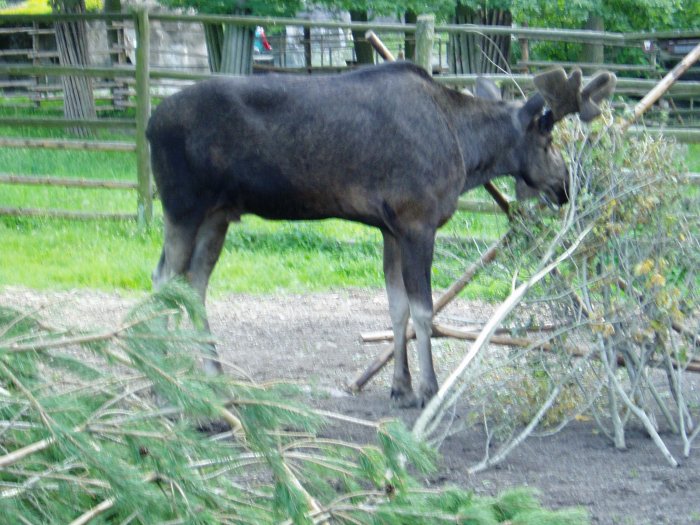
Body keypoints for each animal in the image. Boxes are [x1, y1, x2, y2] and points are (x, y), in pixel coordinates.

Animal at [148, 62, 612, 410]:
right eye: (548, 140)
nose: (565, 186)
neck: (466, 147)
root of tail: (150, 125)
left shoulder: (390, 228)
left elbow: (396, 308)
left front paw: (400, 387)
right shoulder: (417, 221)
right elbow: (424, 311)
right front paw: (429, 389)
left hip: (217, 215)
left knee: (190, 284)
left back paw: (208, 377)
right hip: (183, 208)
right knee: (164, 281)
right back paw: (162, 377)